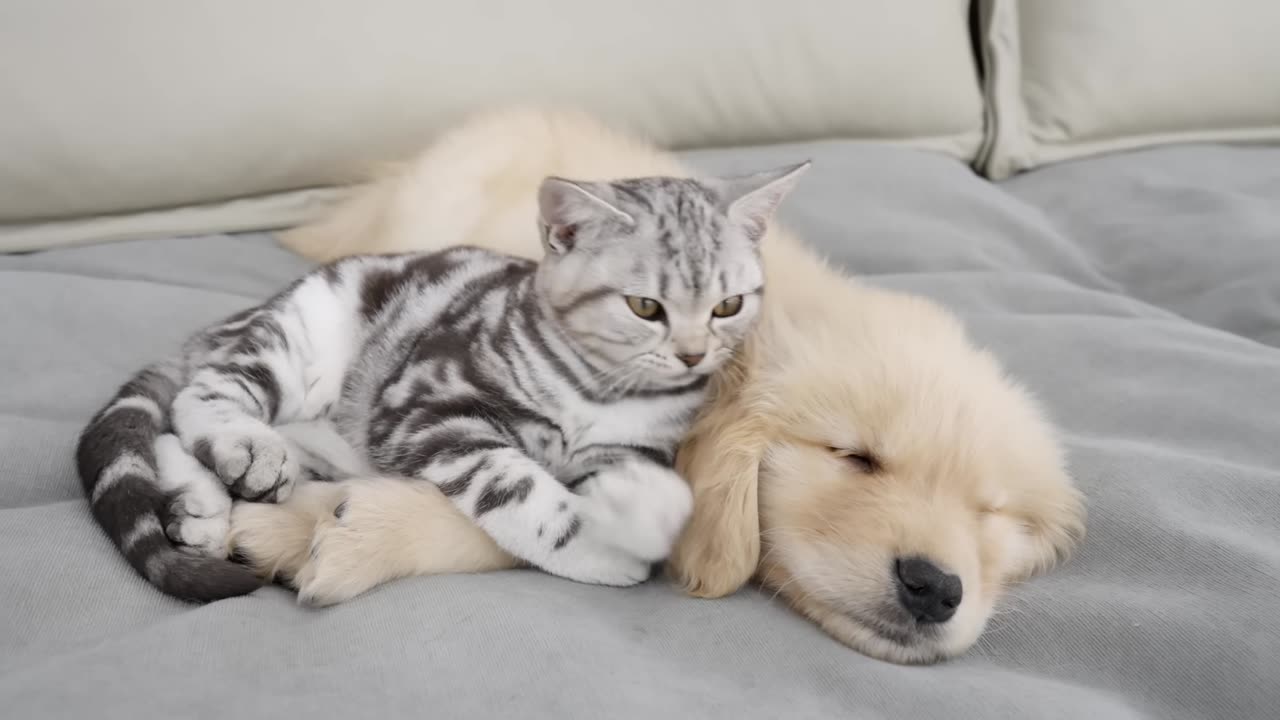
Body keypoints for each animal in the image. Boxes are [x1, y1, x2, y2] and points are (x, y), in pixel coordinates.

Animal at [74, 162, 803, 599]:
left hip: (329, 444)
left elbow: (642, 484)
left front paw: (639, 508)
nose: (693, 355)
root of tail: (229, 322)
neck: (599, 390)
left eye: (728, 306)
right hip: (296, 342)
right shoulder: (425, 405)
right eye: (646, 307)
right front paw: (595, 544)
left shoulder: (638, 446)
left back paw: (201, 506)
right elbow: (517, 487)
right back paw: (242, 450)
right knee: (200, 395)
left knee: (172, 434)